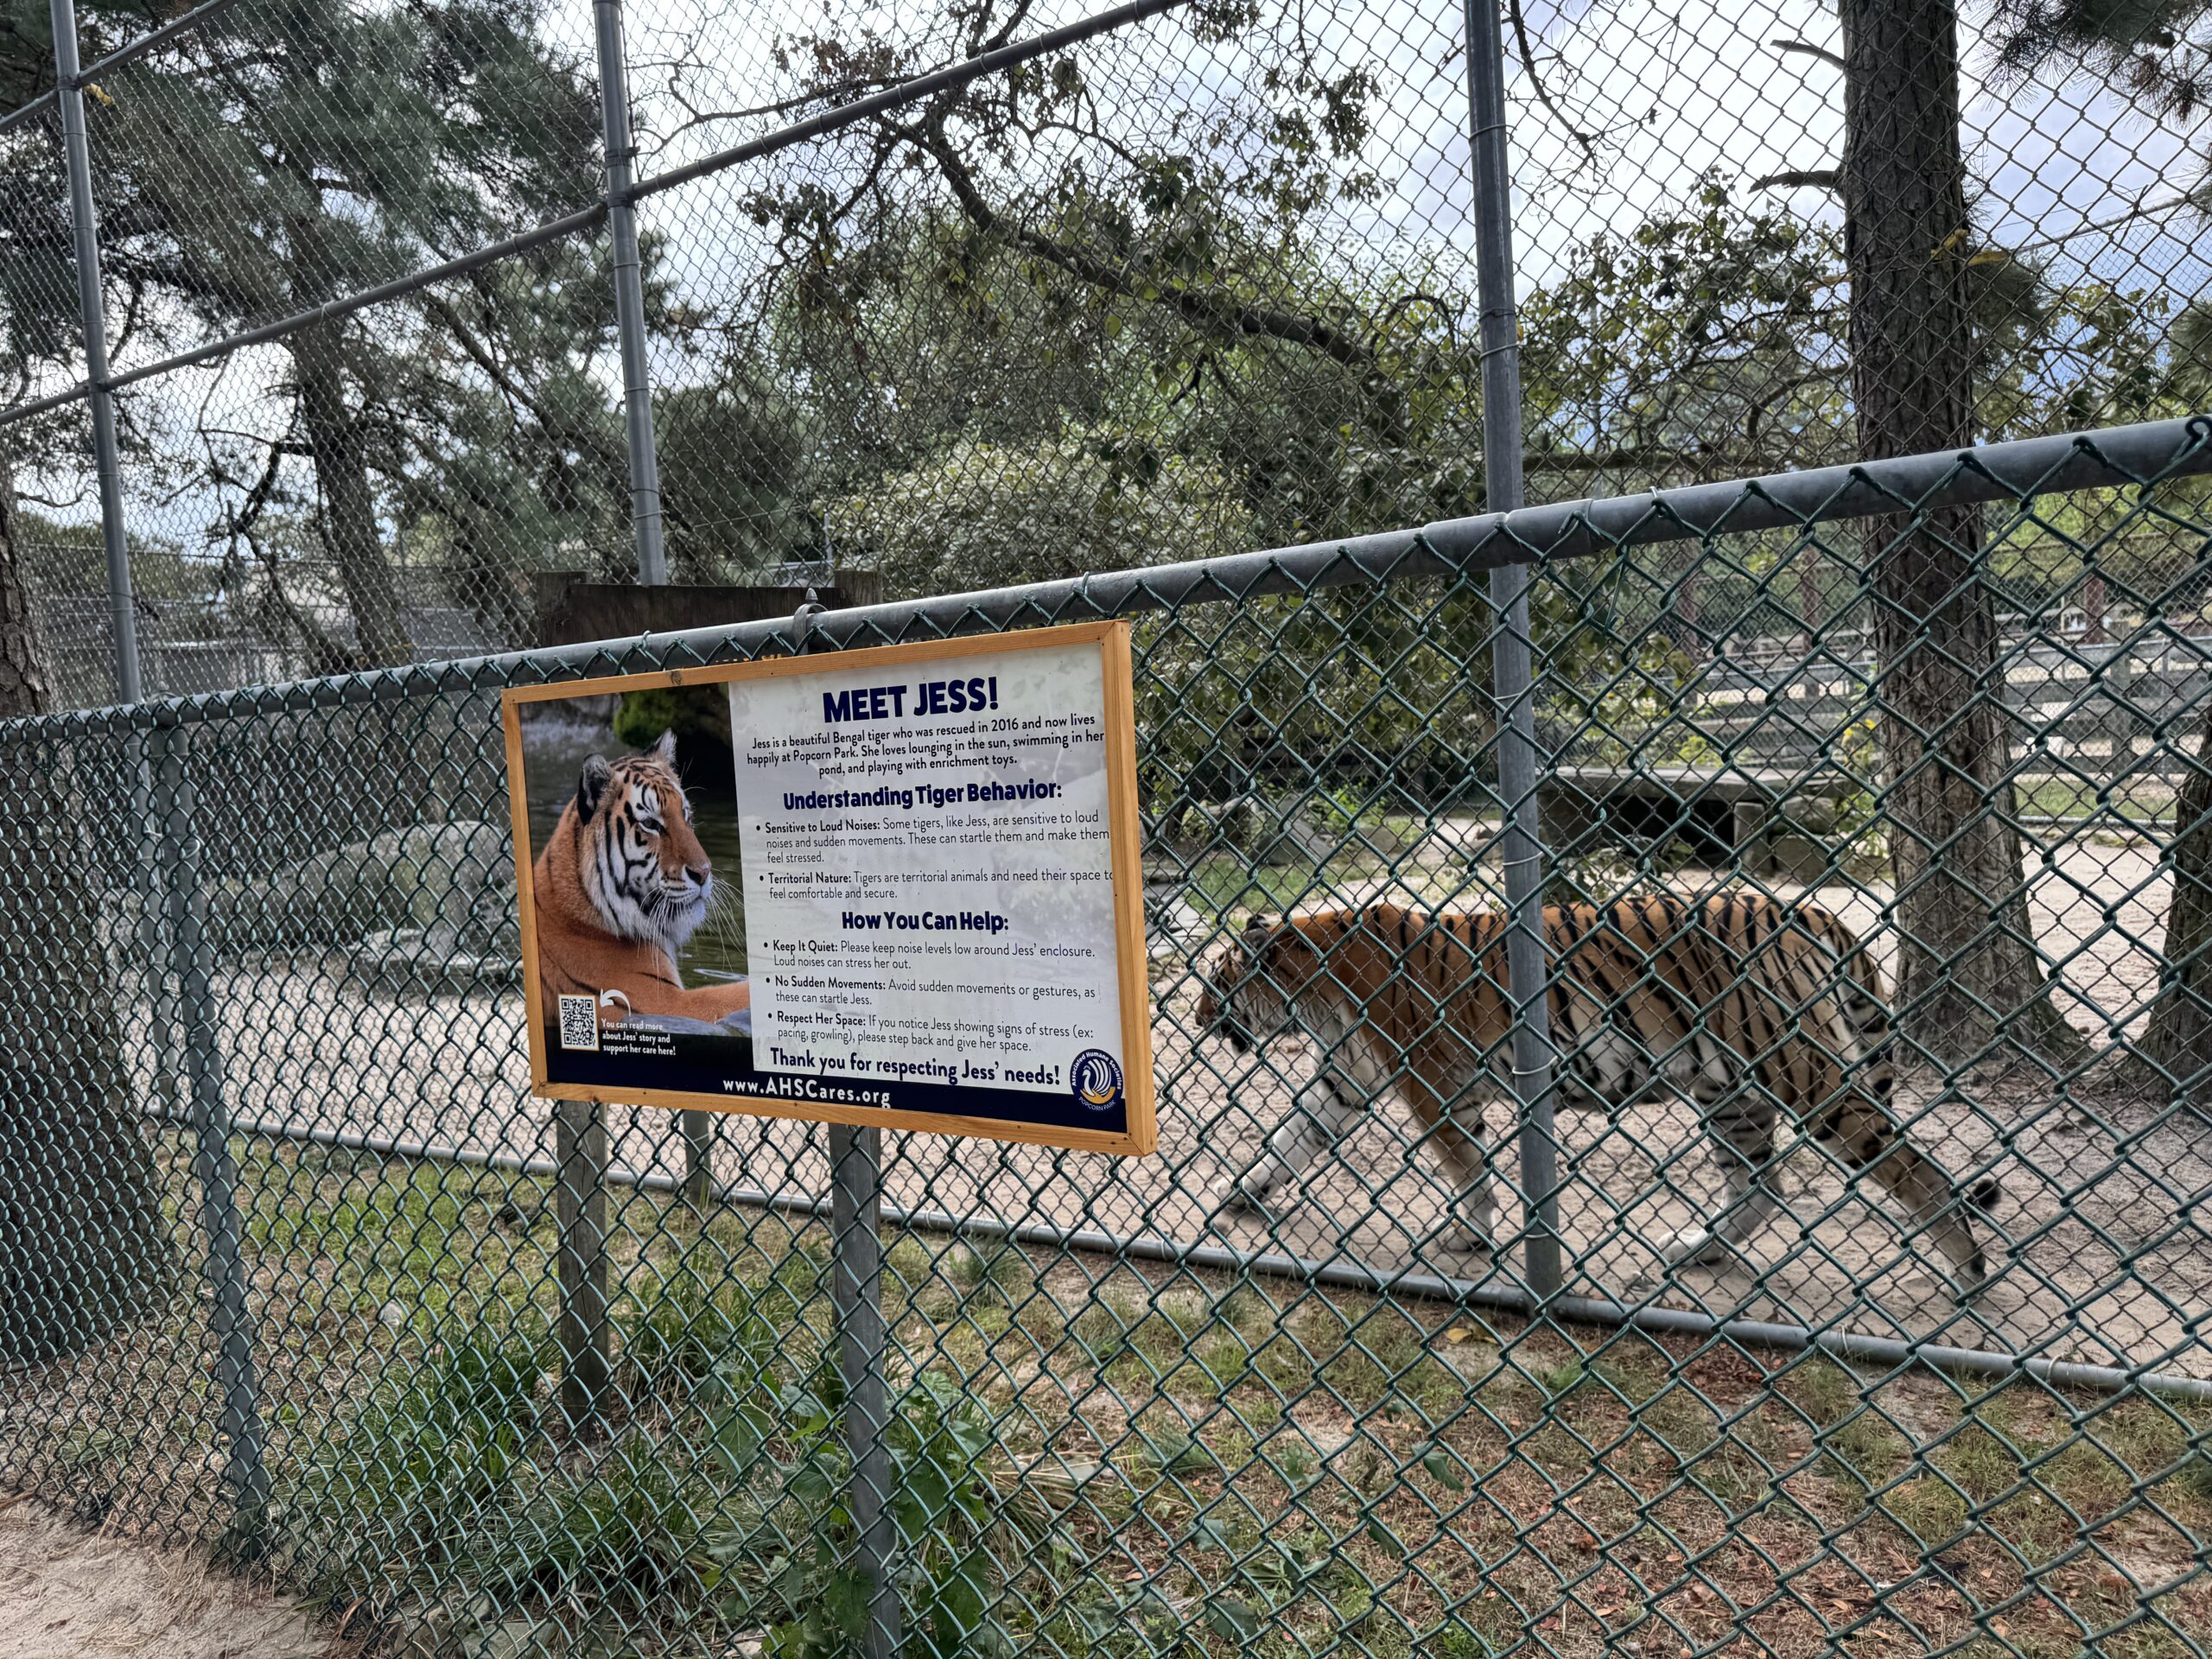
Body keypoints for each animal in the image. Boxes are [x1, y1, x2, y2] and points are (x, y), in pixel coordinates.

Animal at [1203, 898, 1999, 1300]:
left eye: (1217, 982)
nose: (1200, 1016)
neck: (1311, 988)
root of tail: (1814, 916)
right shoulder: (1345, 1079)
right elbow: (1289, 1137)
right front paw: (1240, 1193)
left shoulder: (1430, 1081)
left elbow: (1463, 1163)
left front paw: (1471, 1233)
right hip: (1728, 1091)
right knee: (1762, 1183)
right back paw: (1697, 1250)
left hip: (1805, 1077)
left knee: (1913, 1169)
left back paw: (1967, 1275)